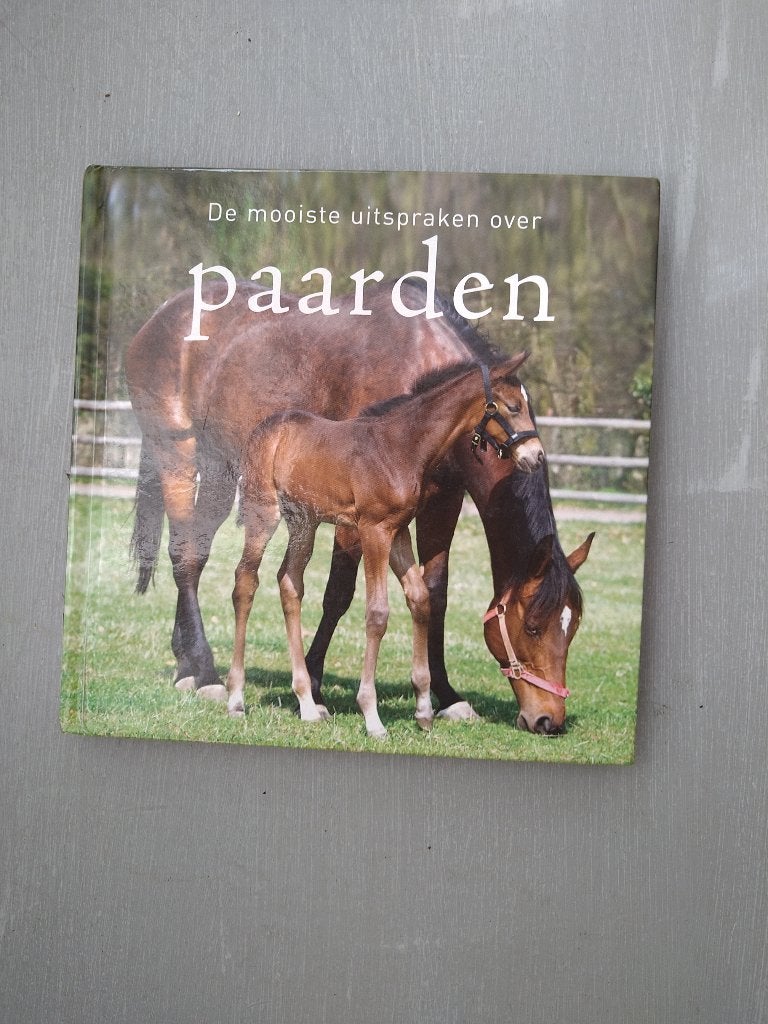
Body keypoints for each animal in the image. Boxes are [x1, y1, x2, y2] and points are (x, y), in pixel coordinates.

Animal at [226, 357, 542, 738]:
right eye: (513, 406)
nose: (537, 457)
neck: (400, 448)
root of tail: (266, 427)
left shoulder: (398, 531)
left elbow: (420, 599)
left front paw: (423, 710)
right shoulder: (373, 530)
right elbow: (377, 614)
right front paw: (372, 716)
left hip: (304, 523)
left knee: (290, 583)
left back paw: (307, 704)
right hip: (264, 514)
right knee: (245, 581)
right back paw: (236, 699)